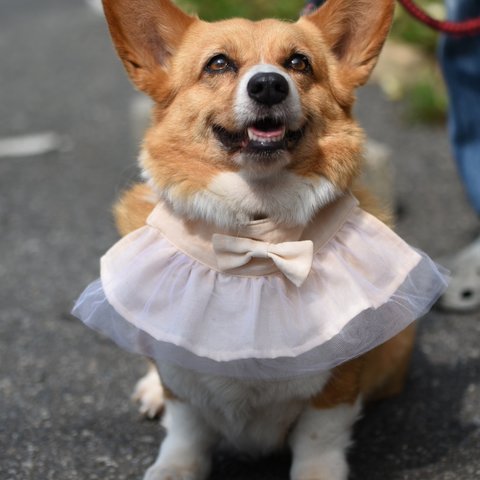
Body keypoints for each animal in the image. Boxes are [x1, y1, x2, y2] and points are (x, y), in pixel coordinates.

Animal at [74, 0, 446, 480]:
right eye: (218, 63)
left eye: (298, 63)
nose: (269, 84)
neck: (256, 231)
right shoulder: (181, 372)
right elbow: (186, 425)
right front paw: (175, 466)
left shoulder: (339, 380)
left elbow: (319, 437)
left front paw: (318, 473)